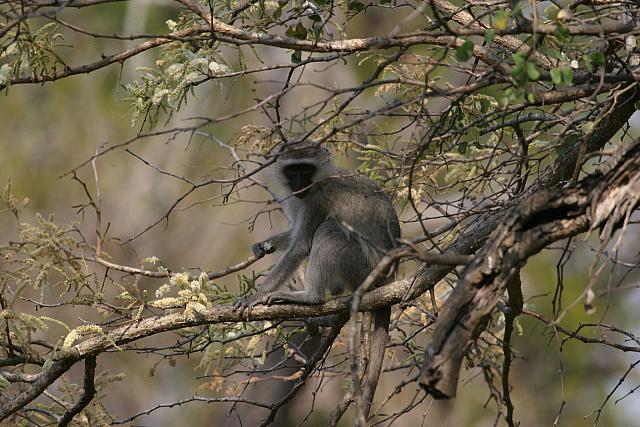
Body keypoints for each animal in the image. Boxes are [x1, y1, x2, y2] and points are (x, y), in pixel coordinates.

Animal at [234, 144, 401, 418]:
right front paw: (265, 245)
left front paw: (255, 296)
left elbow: (301, 245)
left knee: (329, 230)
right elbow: (294, 234)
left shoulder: (318, 199)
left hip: (360, 267)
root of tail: (388, 279)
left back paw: (311, 296)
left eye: (305, 168)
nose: (300, 183)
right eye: (293, 169)